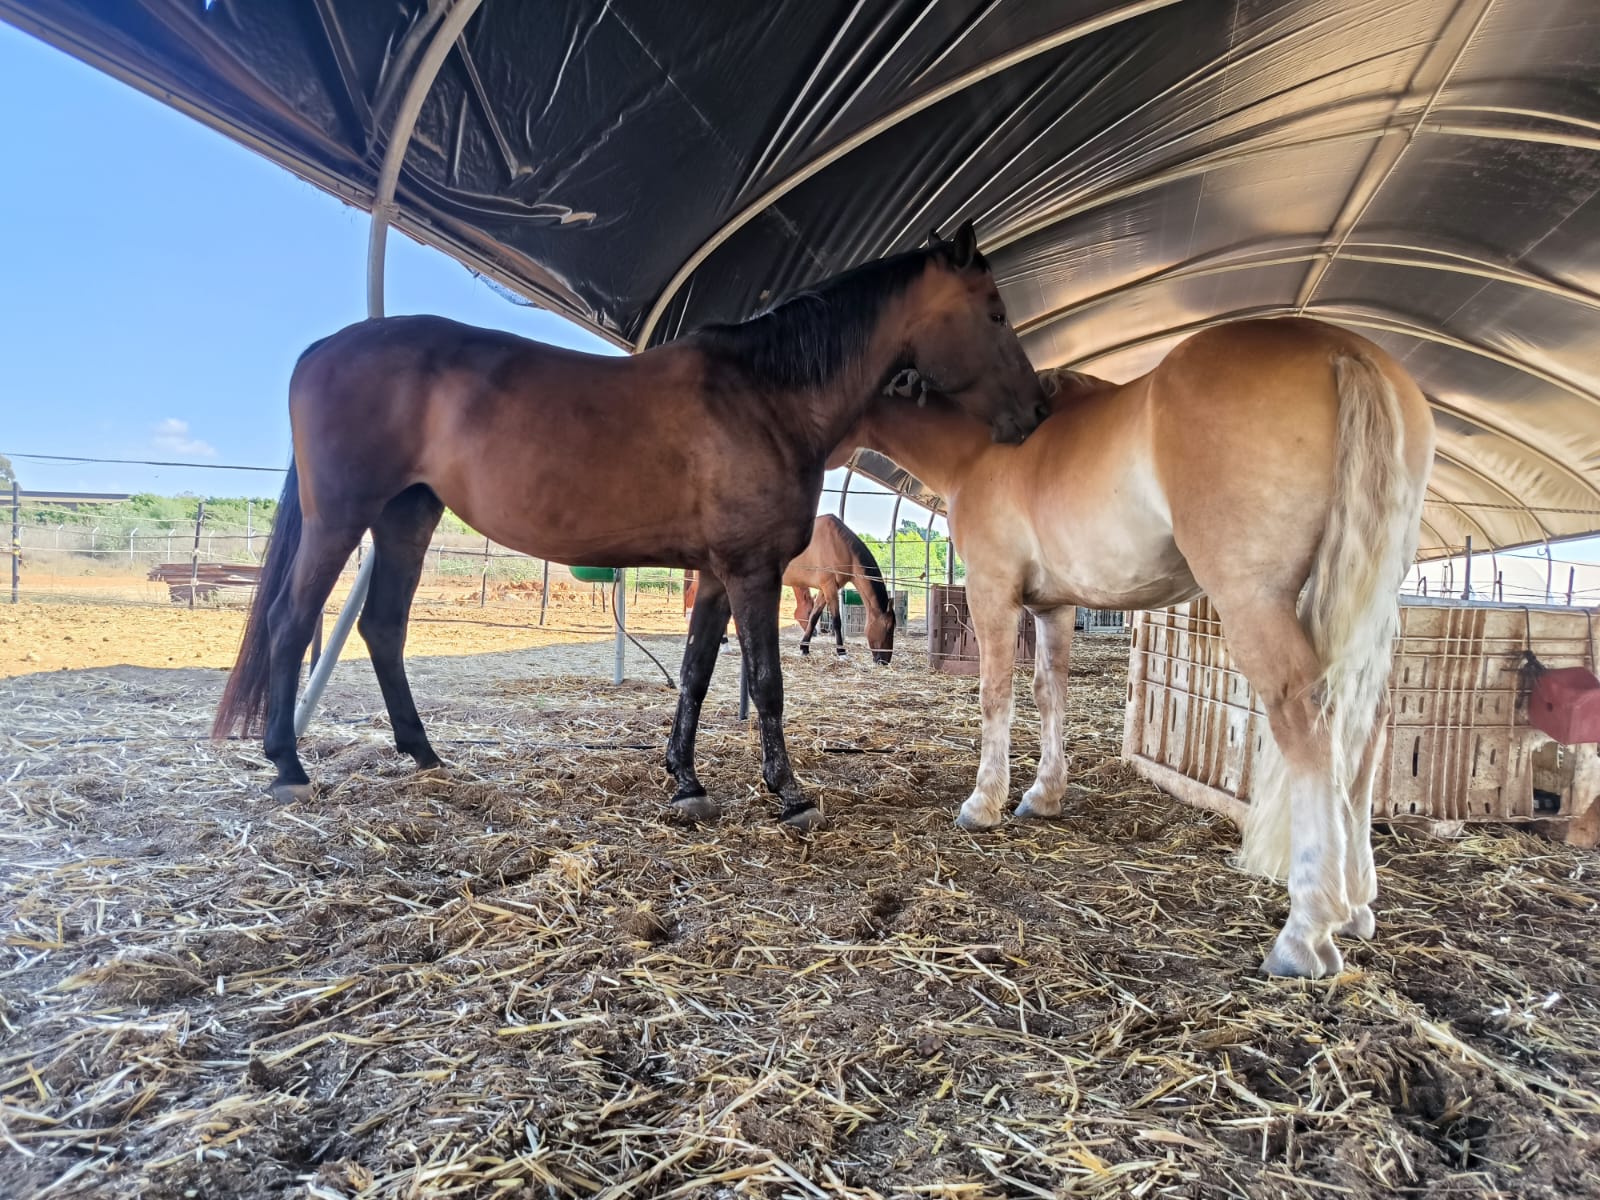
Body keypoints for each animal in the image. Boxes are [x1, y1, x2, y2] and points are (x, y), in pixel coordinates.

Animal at [787, 518, 902, 668]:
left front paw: (804, 648)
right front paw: (841, 652)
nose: (885, 661)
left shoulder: (825, 589)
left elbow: (814, 617)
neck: (838, 544)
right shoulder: (829, 587)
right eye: (888, 628)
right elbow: (837, 621)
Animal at [838, 320, 1440, 979]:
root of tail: (1344, 350)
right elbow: (1050, 693)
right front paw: (1043, 795)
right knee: (1368, 727)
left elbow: (996, 694)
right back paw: (1356, 908)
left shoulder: (992, 591)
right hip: (1368, 598)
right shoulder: (1054, 607)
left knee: (1310, 719)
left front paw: (983, 804)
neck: (978, 449)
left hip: (1258, 600)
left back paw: (1305, 932)